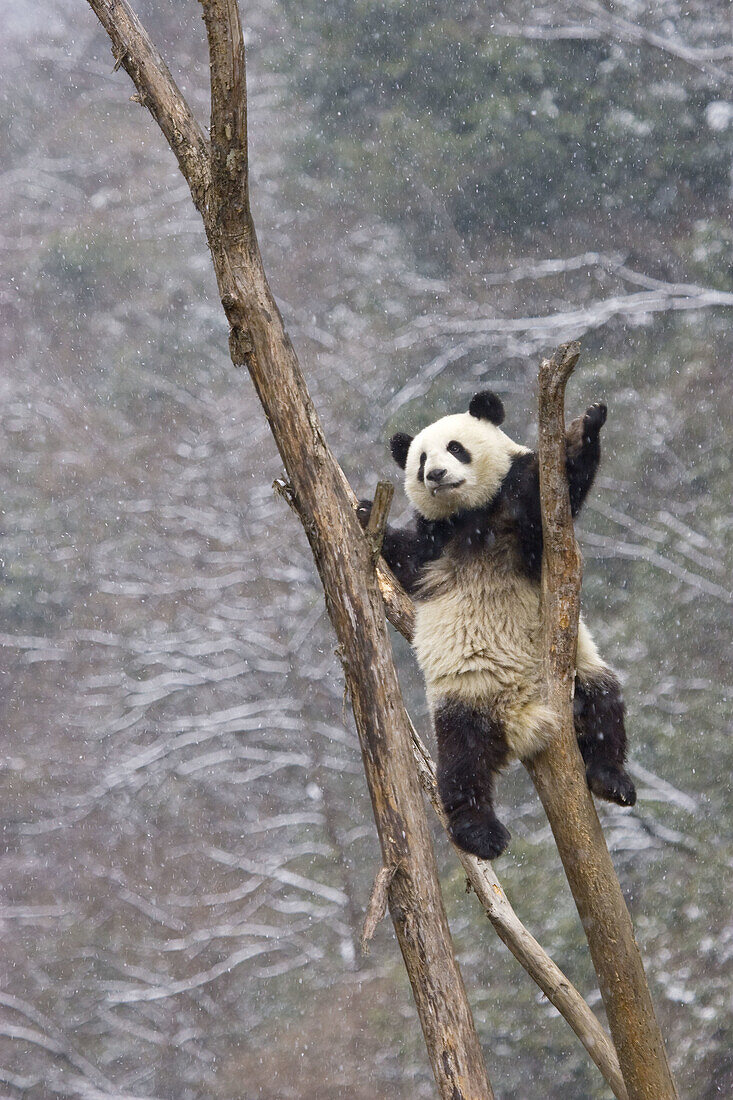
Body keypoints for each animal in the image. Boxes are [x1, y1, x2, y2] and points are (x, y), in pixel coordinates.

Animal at [358, 391, 633, 862]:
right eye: (420, 459)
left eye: (455, 448)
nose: (435, 475)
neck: (471, 515)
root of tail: (521, 719)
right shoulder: (436, 544)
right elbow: (409, 558)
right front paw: (361, 511)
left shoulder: (520, 522)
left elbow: (553, 498)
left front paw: (587, 425)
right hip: (465, 698)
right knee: (462, 764)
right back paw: (481, 834)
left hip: (579, 671)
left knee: (603, 703)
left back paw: (610, 779)